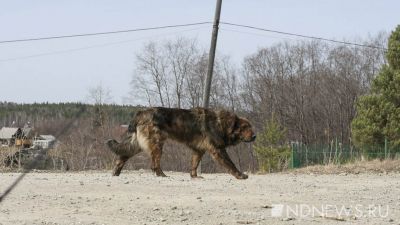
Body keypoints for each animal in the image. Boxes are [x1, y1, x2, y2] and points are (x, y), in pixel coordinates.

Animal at [106, 107, 256, 179]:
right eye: (245, 128)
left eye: (250, 127)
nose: (254, 136)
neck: (221, 123)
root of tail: (141, 113)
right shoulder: (218, 150)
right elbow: (231, 164)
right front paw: (240, 175)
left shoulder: (198, 150)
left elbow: (194, 164)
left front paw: (194, 176)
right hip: (157, 144)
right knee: (154, 164)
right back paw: (162, 175)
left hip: (138, 144)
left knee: (123, 155)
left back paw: (116, 172)